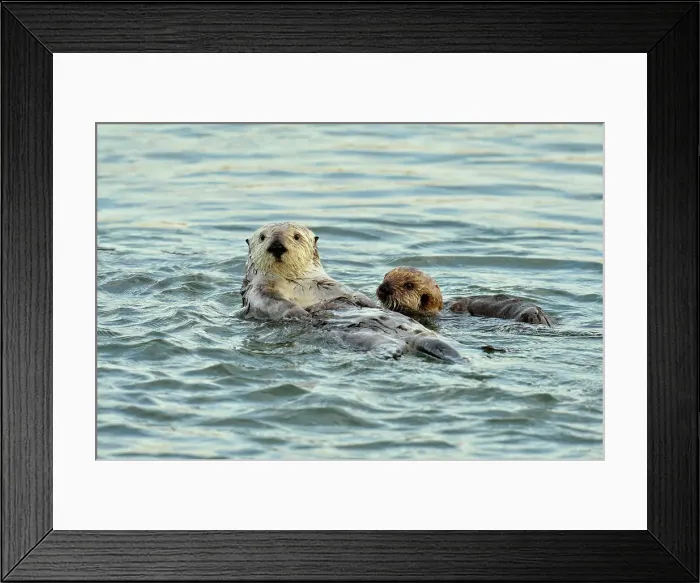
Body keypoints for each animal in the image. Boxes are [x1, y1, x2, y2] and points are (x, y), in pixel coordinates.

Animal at [240, 222, 374, 319]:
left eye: (297, 236)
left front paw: (370, 303)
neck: (296, 284)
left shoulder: (328, 285)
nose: (277, 247)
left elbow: (352, 293)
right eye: (262, 237)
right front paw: (302, 313)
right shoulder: (259, 290)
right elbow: (273, 302)